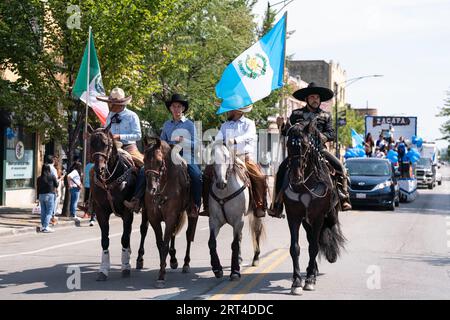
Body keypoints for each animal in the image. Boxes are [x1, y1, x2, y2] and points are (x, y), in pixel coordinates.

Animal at [88, 125, 137, 280]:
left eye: (105, 144)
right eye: (91, 143)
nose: (99, 169)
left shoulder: (128, 211)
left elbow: (124, 238)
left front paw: (126, 266)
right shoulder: (101, 212)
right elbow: (105, 240)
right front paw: (103, 269)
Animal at [136, 138, 198, 288]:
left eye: (159, 161)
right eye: (144, 159)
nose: (151, 189)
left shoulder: (170, 216)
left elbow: (165, 244)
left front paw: (161, 276)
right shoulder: (154, 217)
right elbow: (160, 243)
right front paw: (162, 268)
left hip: (191, 212)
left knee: (188, 235)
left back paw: (186, 263)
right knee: (170, 234)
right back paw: (173, 259)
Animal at [207, 142, 264, 280]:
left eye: (227, 157)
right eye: (212, 158)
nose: (220, 183)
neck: (225, 191)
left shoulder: (239, 220)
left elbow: (234, 244)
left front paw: (235, 271)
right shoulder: (214, 221)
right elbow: (212, 242)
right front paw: (217, 268)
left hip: (256, 216)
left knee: (256, 232)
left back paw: (256, 258)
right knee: (240, 237)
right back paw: (239, 259)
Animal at [284, 120, 346, 296]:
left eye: (305, 145)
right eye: (288, 145)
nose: (295, 176)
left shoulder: (318, 217)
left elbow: (314, 247)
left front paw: (310, 280)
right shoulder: (294, 216)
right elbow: (295, 248)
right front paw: (297, 282)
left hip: (330, 215)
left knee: (325, 233)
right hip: (306, 221)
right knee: (311, 237)